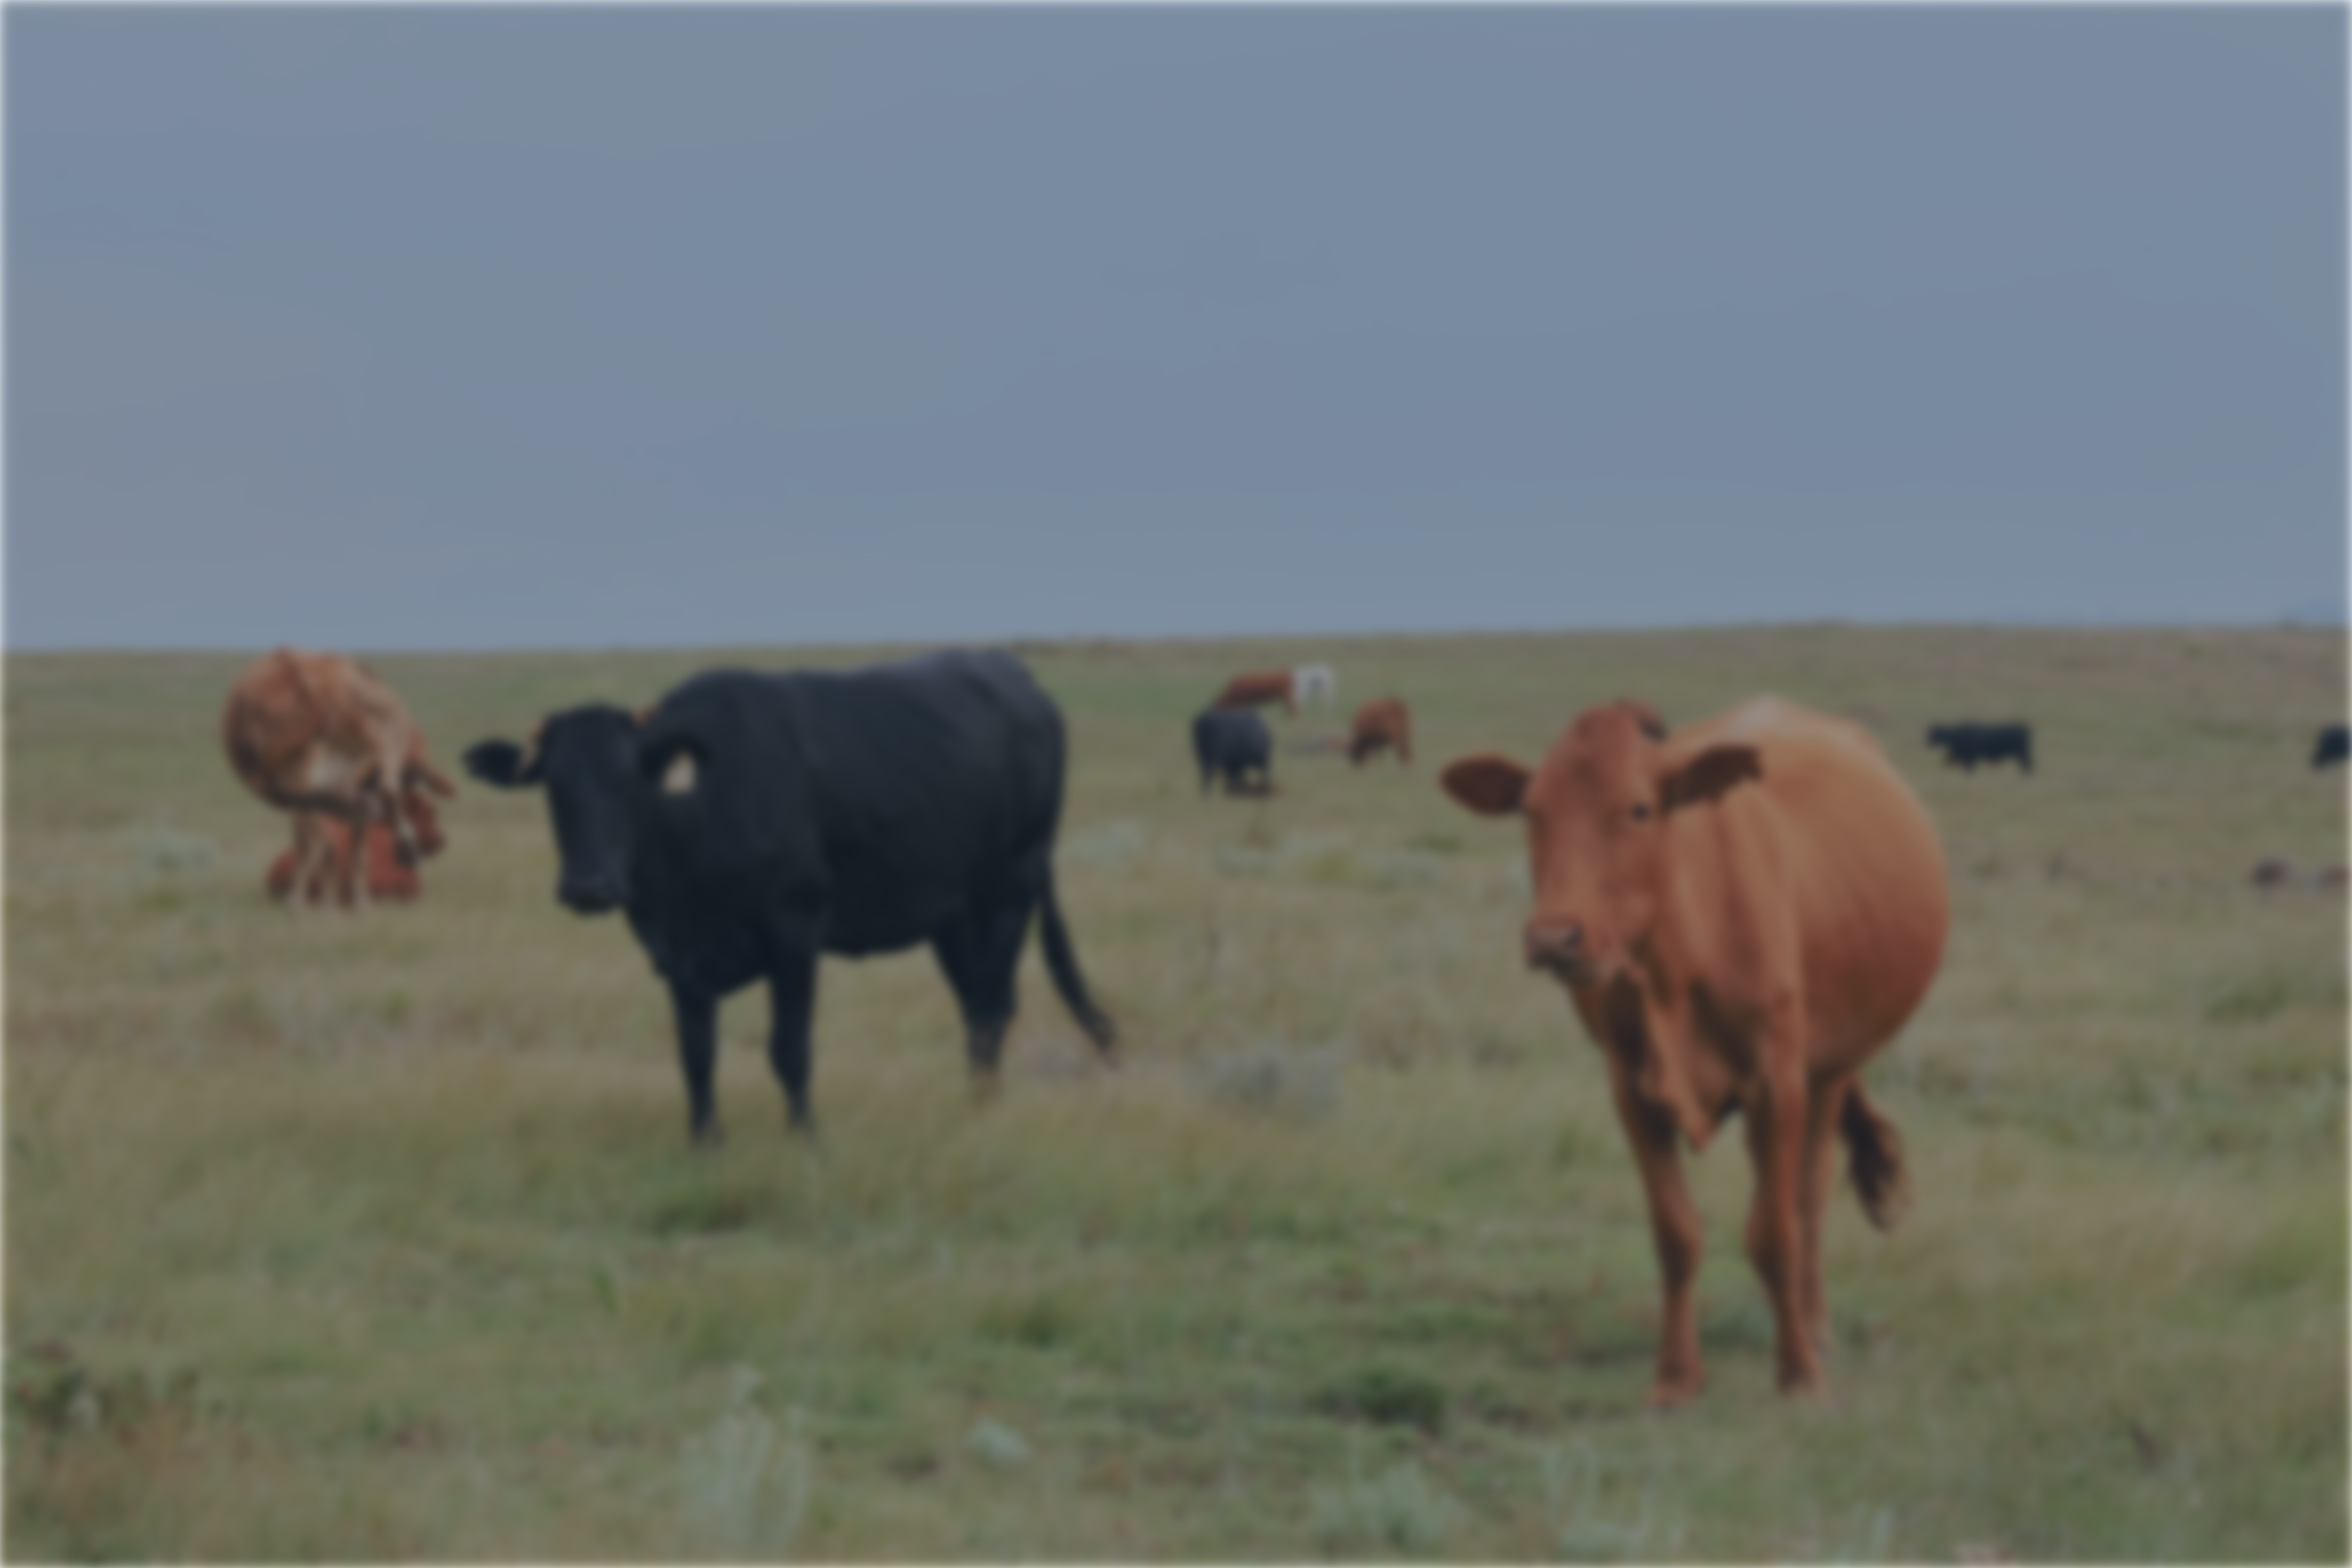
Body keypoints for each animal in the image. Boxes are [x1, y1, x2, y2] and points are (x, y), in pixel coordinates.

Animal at [463, 649, 1116, 1143]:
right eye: (552, 786)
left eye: (630, 781)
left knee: (992, 1008)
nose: (590, 886)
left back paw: (984, 1112)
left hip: (1009, 890)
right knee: (976, 1005)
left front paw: (807, 1138)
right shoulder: (678, 955)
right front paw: (706, 1142)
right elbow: (696, 1053)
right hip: (951, 914)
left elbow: (789, 1047)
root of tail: (1014, 672)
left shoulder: (795, 931)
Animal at [1347, 697, 1413, 767]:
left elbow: (1378, 754)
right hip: (1404, 733)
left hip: (1396, 734)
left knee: (1402, 748)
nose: (1356, 765)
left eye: (1355, 753)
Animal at [1441, 697, 1948, 1404]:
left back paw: (1816, 1328)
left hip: (1830, 1071)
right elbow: (1677, 1235)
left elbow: (1774, 1234)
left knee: (1809, 1198)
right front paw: (1677, 1376)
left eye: (1638, 809)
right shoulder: (1631, 1091)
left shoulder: (1777, 1084)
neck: (1677, 964)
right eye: (1532, 811)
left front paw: (1799, 1373)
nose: (1554, 938)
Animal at [1925, 721, 2033, 774]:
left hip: (2022, 753)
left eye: (1934, 734)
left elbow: (1970, 770)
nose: (1926, 744)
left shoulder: (1969, 758)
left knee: (2028, 764)